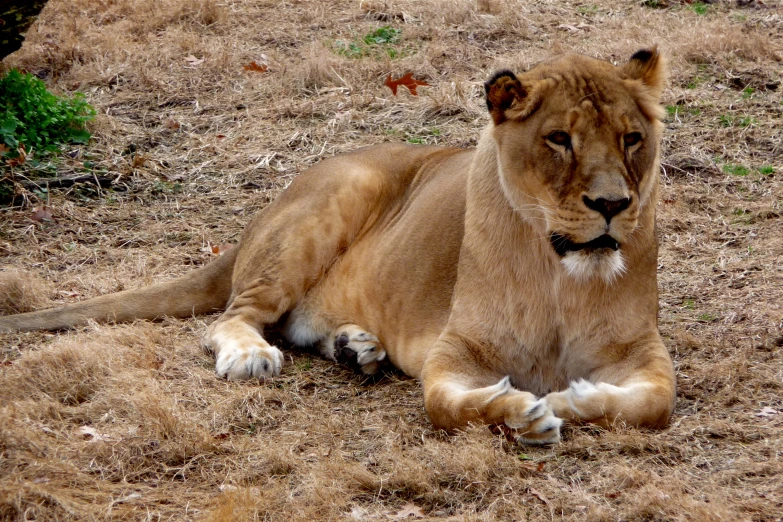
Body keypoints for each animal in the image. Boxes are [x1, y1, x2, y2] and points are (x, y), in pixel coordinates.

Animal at [0, 47, 672, 442]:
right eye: (559, 139)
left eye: (631, 138)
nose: (613, 205)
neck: (561, 273)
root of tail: (262, 213)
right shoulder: (454, 354)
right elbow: (451, 404)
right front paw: (525, 412)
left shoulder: (643, 351)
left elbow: (651, 403)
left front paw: (570, 397)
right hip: (340, 196)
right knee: (235, 316)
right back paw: (253, 354)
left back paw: (355, 348)